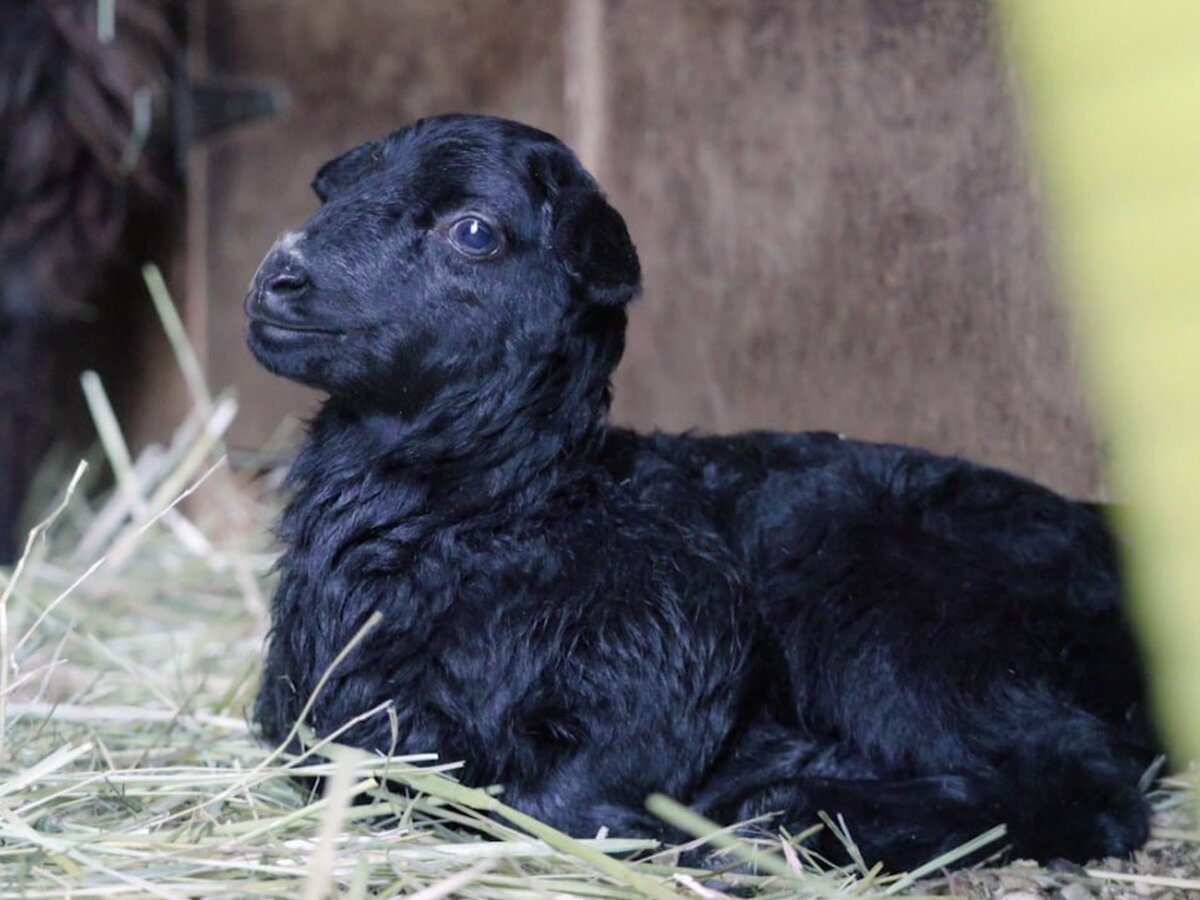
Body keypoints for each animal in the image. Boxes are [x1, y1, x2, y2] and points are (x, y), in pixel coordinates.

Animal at [246, 112, 1161, 873]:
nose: (278, 276)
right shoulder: (311, 716)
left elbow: (558, 803)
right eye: (338, 191)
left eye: (472, 231)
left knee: (1080, 780)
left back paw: (799, 816)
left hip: (909, 626)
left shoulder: (681, 640)